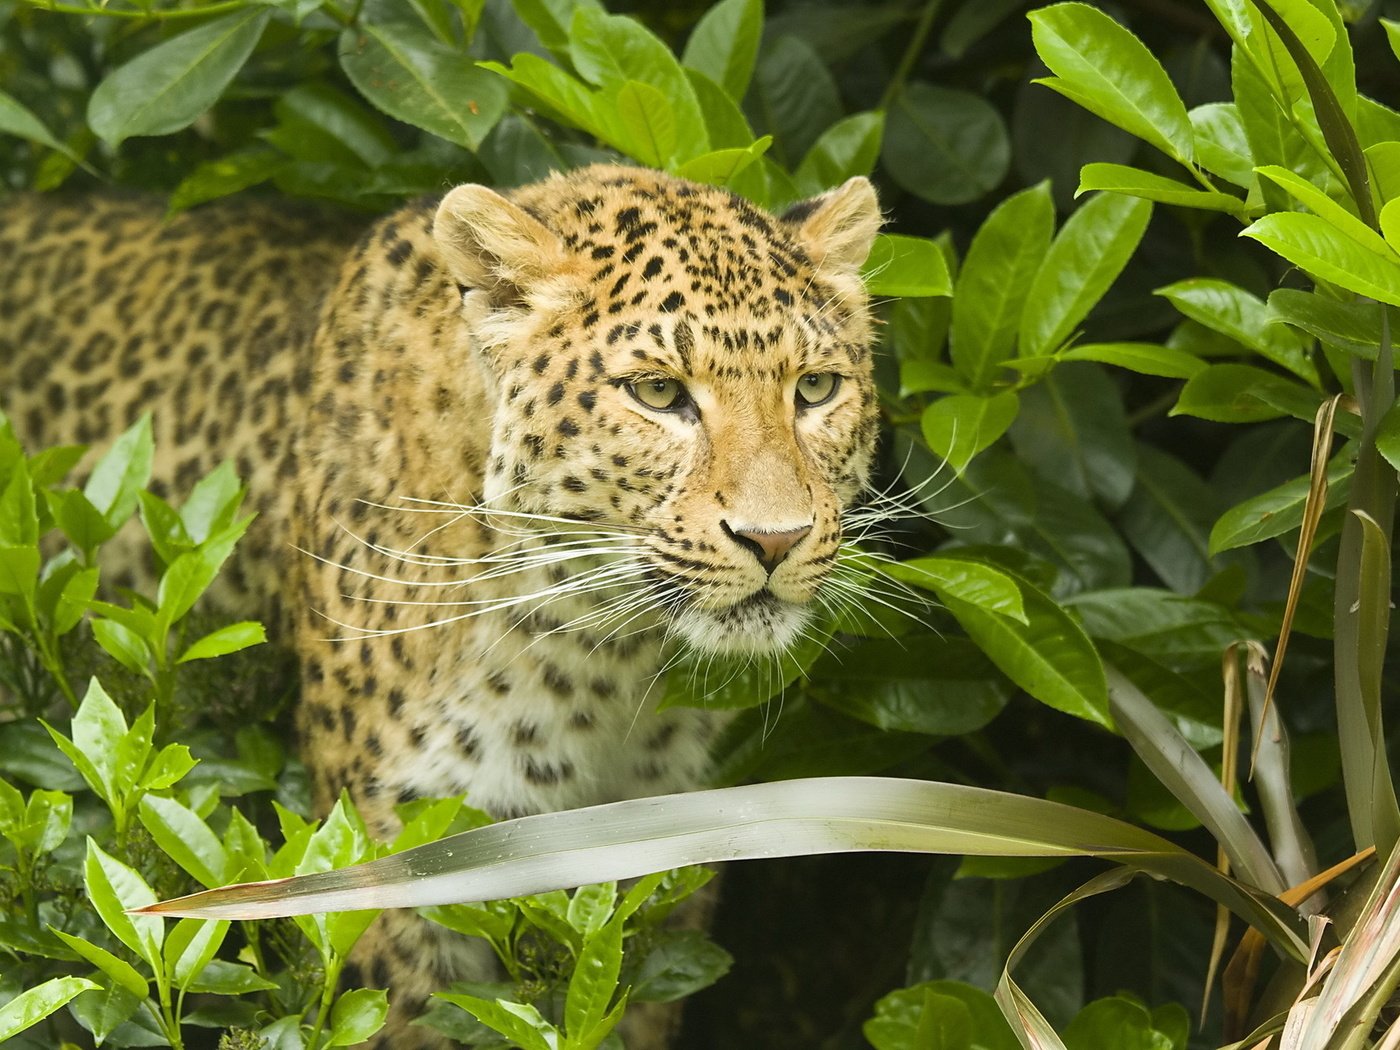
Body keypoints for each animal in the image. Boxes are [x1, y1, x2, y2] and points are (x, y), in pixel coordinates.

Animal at [0, 164, 873, 1047]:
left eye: (816, 388)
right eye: (658, 393)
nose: (775, 539)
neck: (608, 661)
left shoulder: (668, 859)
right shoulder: (406, 869)